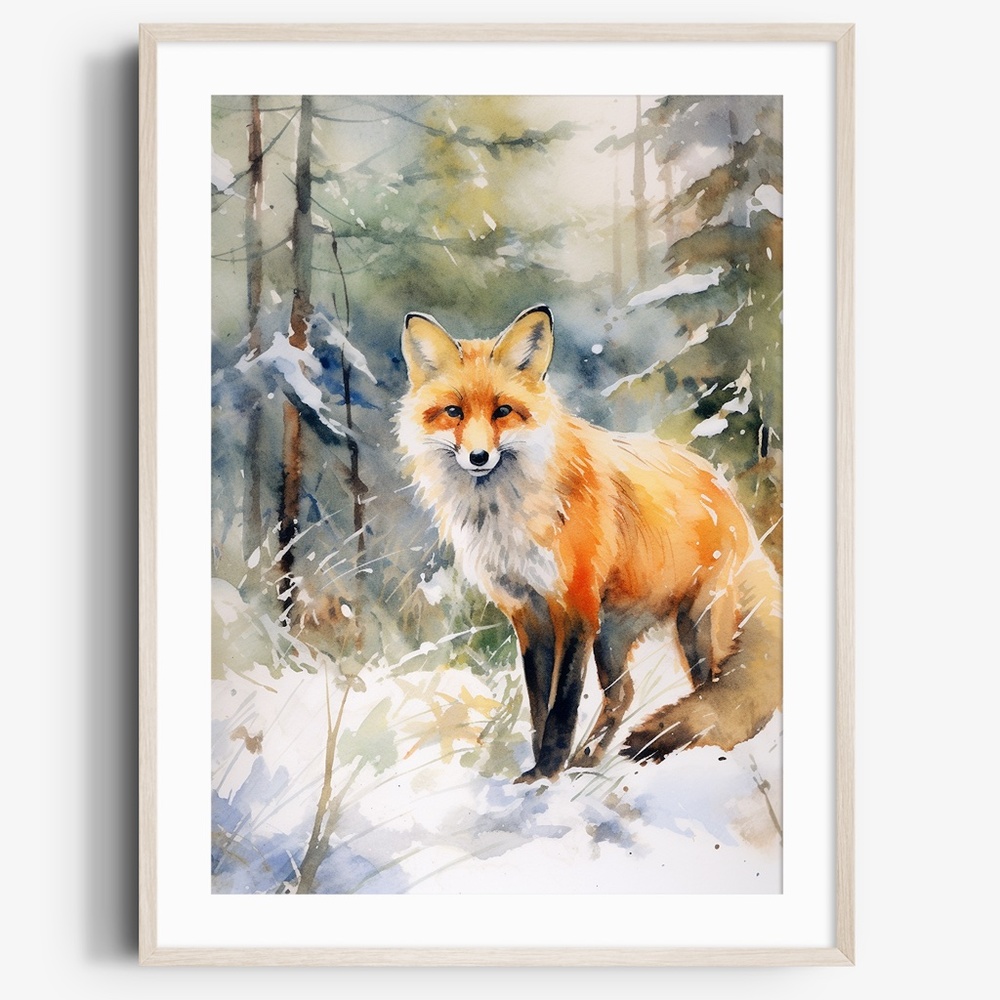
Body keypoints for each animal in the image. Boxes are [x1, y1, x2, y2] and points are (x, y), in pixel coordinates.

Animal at [397, 304, 782, 783]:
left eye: (503, 410)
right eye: (453, 411)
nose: (479, 457)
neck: (508, 515)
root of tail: (728, 493)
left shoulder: (575, 606)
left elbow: (562, 704)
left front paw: (546, 773)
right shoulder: (529, 613)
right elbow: (539, 706)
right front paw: (541, 771)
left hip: (698, 628)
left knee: (708, 693)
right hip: (615, 634)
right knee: (625, 693)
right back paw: (589, 759)